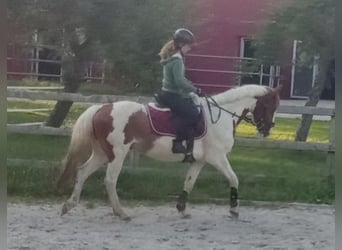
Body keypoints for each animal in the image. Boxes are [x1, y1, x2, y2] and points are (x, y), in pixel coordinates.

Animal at [56, 84, 280, 221]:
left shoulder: (199, 161)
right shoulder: (217, 158)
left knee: (83, 171)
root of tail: (102, 108)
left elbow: (189, 183)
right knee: (110, 180)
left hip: (103, 153)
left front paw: (181, 209)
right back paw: (121, 213)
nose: (267, 129)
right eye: (269, 105)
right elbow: (234, 179)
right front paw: (234, 209)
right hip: (117, 154)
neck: (221, 115)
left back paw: (69, 205)